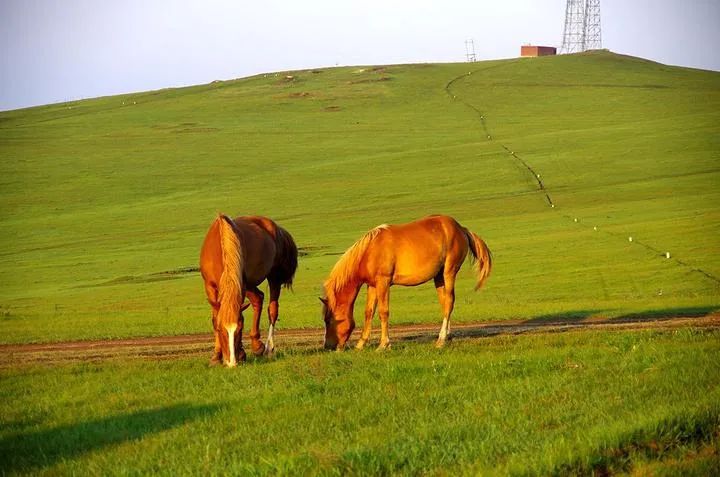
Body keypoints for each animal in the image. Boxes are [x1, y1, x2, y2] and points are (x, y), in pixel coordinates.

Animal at [198, 214, 296, 366]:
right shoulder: (209, 287)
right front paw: (216, 356)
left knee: (272, 310)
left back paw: (267, 349)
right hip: (250, 284)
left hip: (273, 276)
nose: (232, 363)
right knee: (258, 298)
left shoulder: (241, 285)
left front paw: (241, 353)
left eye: (240, 329)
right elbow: (215, 318)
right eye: (220, 329)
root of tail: (276, 228)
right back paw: (256, 345)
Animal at [324, 216, 492, 350]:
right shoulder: (372, 285)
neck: (369, 251)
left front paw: (384, 344)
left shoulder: (383, 282)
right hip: (438, 277)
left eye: (328, 320)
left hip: (449, 272)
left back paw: (441, 340)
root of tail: (460, 228)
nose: (328, 346)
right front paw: (360, 344)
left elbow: (383, 312)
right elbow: (369, 312)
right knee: (444, 303)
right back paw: (447, 336)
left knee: (449, 301)